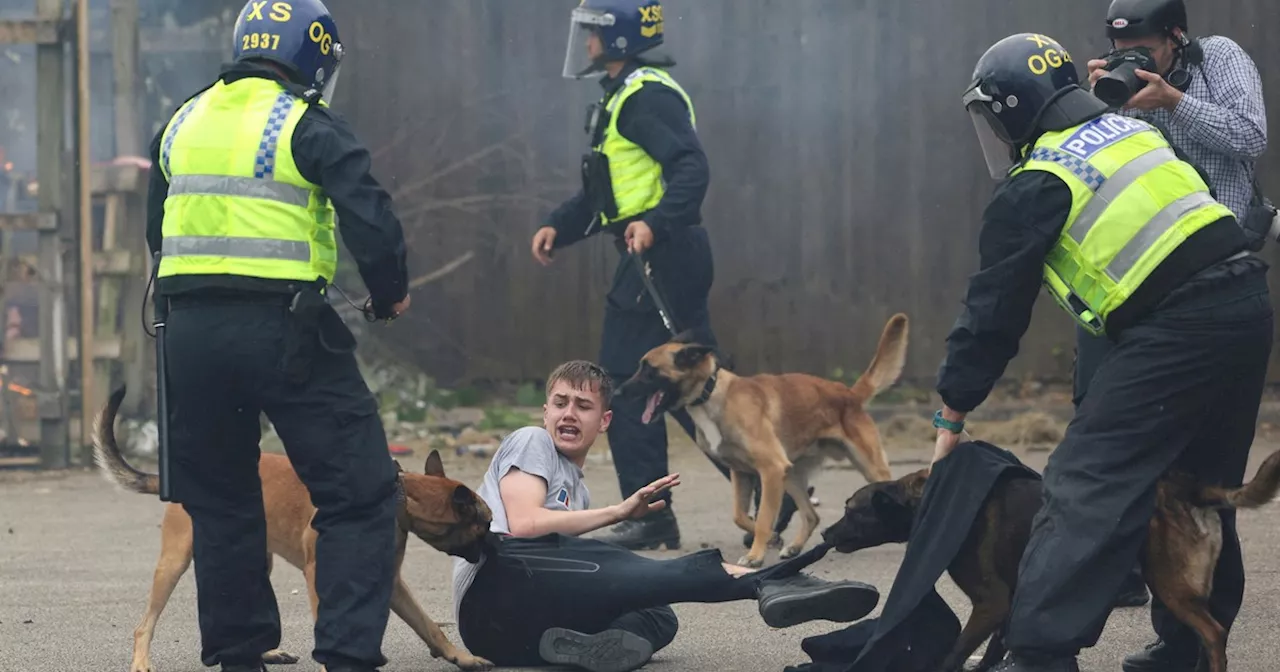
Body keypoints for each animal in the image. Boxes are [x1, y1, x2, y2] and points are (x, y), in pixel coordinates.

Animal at [90, 386, 496, 670]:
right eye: (485, 524)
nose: (495, 548)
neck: (396, 495)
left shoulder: (392, 584)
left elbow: (429, 625)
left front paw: (461, 657)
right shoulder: (322, 576)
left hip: (256, 559)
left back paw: (266, 652)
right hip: (174, 561)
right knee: (145, 624)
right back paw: (142, 661)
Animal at [619, 312, 911, 563]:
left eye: (649, 370)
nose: (619, 391)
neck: (711, 394)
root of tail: (849, 393)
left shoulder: (770, 469)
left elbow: (761, 518)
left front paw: (755, 556)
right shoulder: (743, 473)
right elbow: (740, 515)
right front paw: (769, 537)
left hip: (867, 467)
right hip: (791, 476)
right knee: (811, 515)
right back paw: (794, 547)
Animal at [814, 450, 1280, 670]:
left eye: (852, 511)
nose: (824, 534)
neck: (925, 497)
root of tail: (1189, 488)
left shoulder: (990, 603)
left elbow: (955, 652)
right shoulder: (1010, 601)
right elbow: (994, 648)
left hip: (1171, 584)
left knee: (1214, 632)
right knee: (1212, 629)